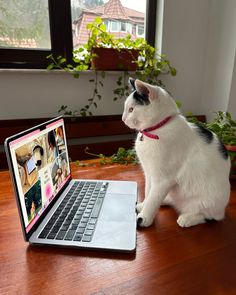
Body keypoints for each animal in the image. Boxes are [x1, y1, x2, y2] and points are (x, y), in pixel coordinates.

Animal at [121, 78, 230, 229]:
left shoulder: (163, 179)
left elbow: (153, 198)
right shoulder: (149, 172)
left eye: (131, 109)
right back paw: (165, 201)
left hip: (209, 201)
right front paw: (143, 205)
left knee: (208, 216)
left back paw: (187, 218)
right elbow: (149, 192)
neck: (157, 129)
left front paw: (144, 217)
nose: (123, 119)